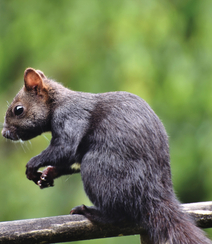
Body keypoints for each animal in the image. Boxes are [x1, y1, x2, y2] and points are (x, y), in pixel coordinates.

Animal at [1, 67, 212, 244]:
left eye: (18, 109)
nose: (4, 133)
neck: (58, 102)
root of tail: (154, 193)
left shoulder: (71, 118)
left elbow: (65, 149)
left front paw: (32, 165)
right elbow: (70, 161)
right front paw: (46, 175)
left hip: (97, 171)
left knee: (119, 216)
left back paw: (89, 212)